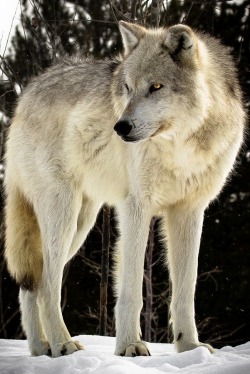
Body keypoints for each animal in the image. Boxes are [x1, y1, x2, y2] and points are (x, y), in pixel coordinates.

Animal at [4, 20, 246, 356]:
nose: (120, 127)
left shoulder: (190, 211)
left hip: (82, 223)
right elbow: (131, 289)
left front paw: (190, 347)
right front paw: (130, 345)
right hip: (64, 216)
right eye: (128, 88)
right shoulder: (136, 208)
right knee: (48, 285)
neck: (179, 148)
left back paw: (41, 349)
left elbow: (186, 289)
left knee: (33, 284)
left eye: (155, 87)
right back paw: (62, 343)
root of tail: (27, 93)